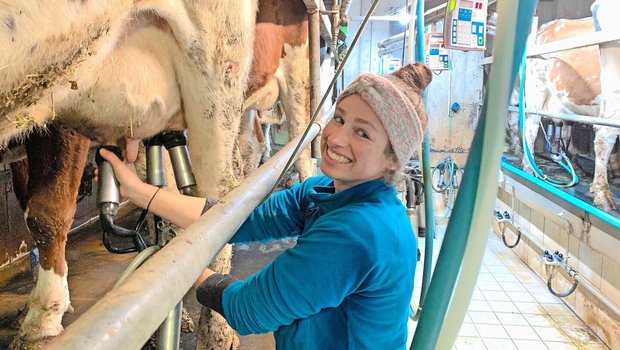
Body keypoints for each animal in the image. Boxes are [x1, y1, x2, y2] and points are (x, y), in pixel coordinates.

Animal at [508, 17, 620, 211]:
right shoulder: (613, 99)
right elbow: (606, 141)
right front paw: (602, 194)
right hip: (535, 88)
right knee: (529, 123)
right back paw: (528, 164)